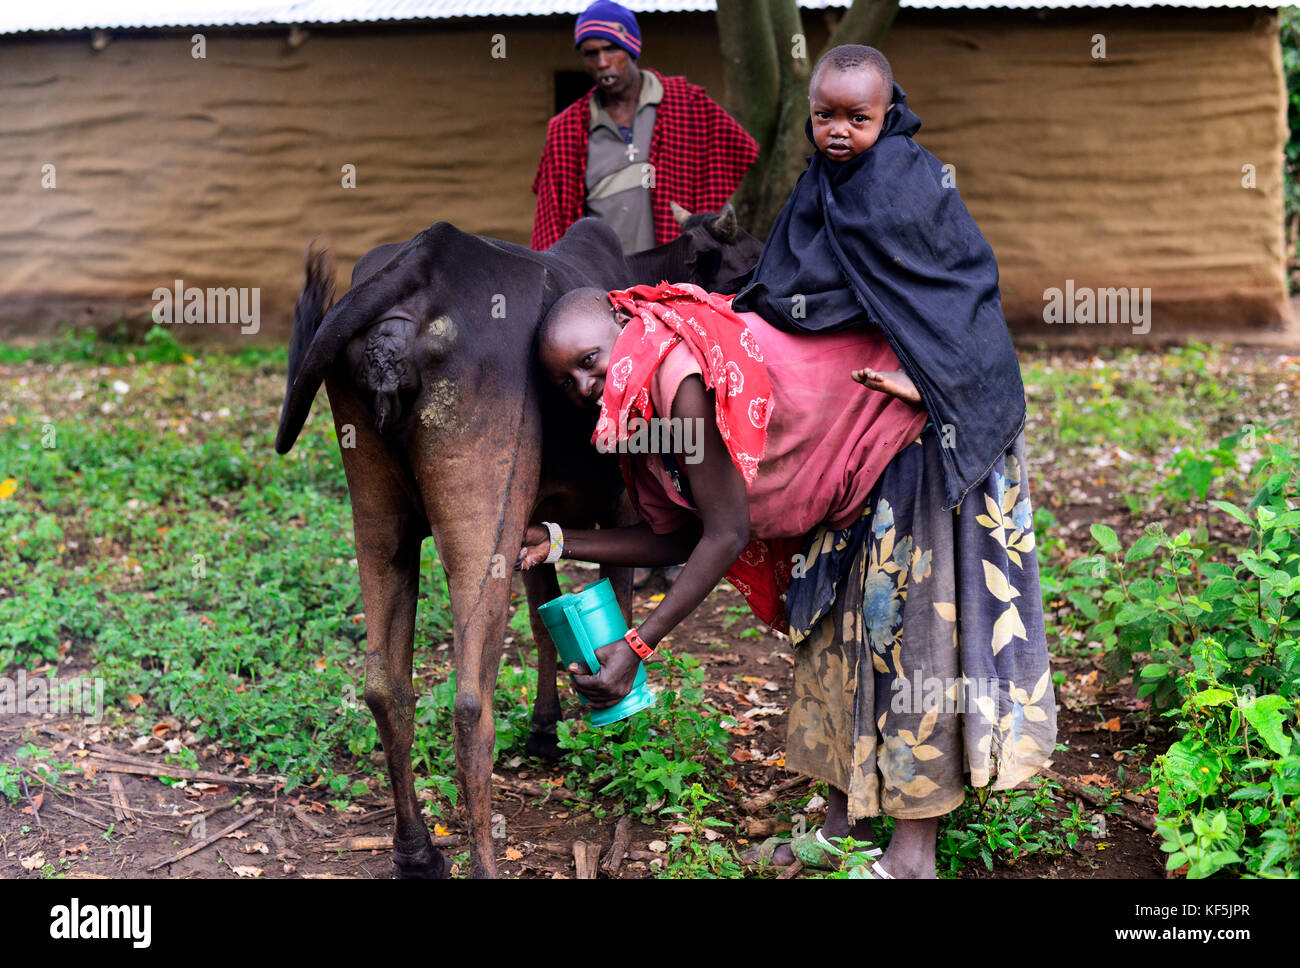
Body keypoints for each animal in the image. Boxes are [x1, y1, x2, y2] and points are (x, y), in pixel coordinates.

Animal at [275, 207, 759, 878]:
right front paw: (615, 724)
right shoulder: (618, 502)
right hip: (485, 513)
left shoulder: (538, 517)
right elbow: (619, 602)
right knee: (469, 704)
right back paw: (481, 861)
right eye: (743, 266)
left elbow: (544, 618)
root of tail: (417, 266)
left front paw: (545, 730)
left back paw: (417, 851)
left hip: (376, 510)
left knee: (384, 686)